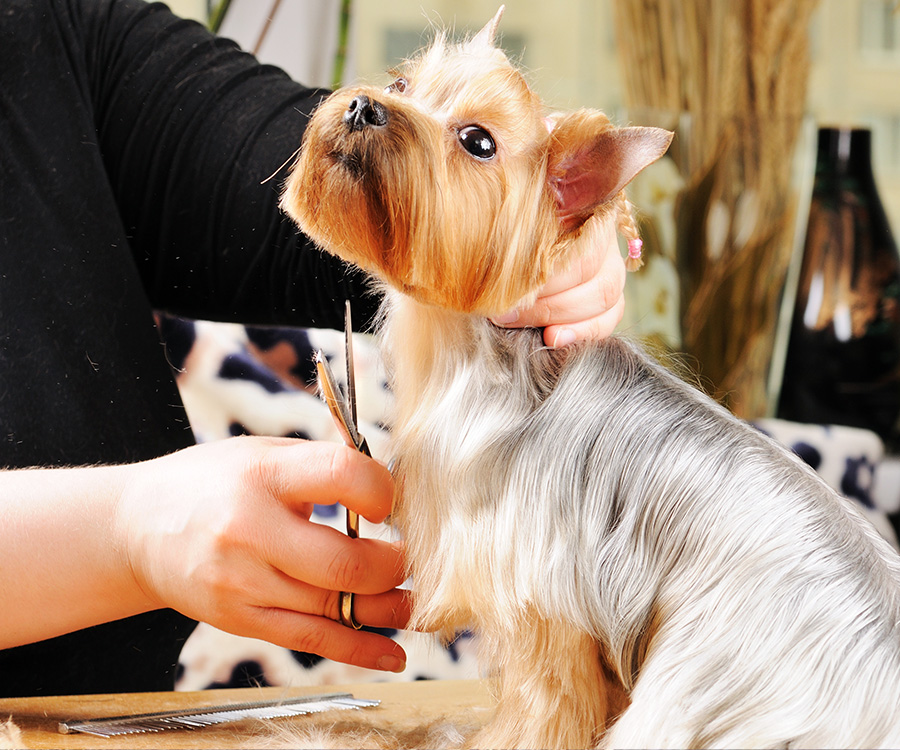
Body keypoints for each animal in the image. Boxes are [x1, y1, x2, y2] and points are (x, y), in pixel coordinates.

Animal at [284, 8, 900, 748]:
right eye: (403, 83)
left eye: (477, 141)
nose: (364, 105)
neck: (490, 354)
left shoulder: (544, 603)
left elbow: (547, 706)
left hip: (699, 684)